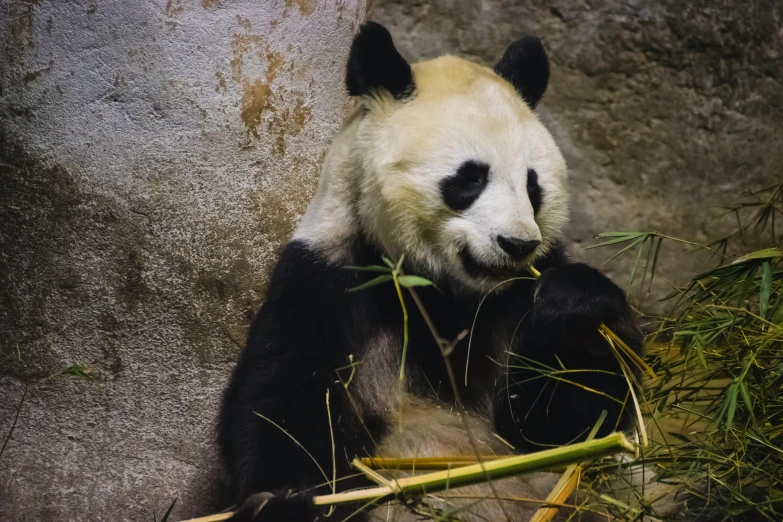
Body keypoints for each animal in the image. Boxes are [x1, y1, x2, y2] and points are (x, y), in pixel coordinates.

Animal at [216, 22, 644, 520]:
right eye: (470, 178)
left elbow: (561, 431)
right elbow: (282, 402)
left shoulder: (518, 297)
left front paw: (575, 306)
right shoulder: (328, 275)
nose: (517, 245)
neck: (445, 292)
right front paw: (283, 503)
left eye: (533, 185)